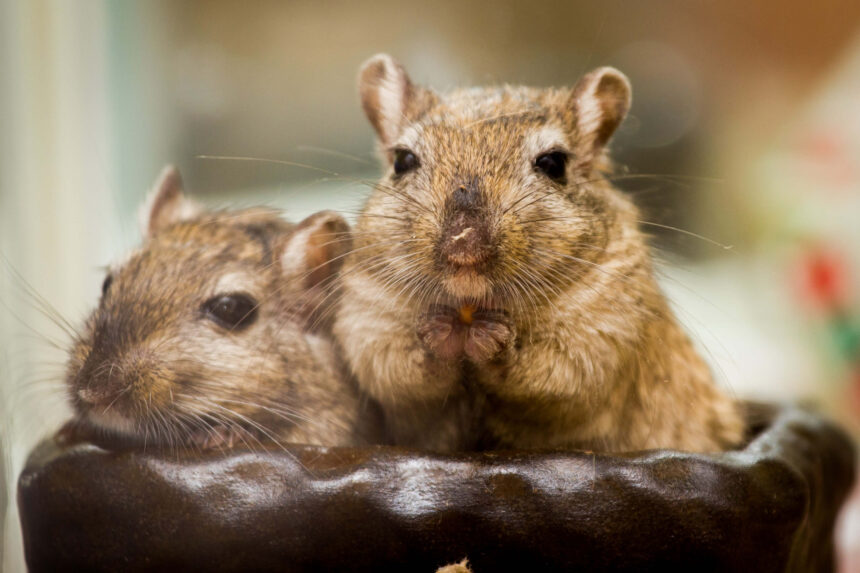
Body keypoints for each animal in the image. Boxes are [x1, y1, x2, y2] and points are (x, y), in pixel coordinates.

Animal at [333, 54, 744, 453]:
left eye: (554, 164)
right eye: (402, 161)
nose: (463, 244)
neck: (471, 306)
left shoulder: (604, 328)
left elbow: (555, 376)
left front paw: (495, 340)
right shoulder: (367, 315)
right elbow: (399, 372)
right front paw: (438, 334)